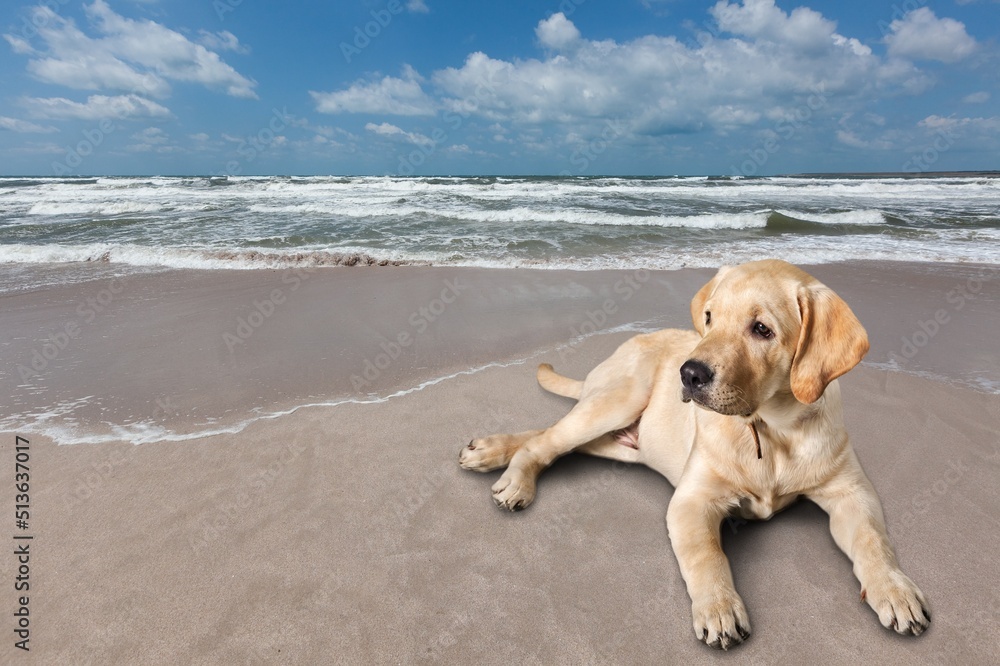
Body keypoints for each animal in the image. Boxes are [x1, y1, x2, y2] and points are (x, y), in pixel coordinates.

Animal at [458, 260, 928, 648]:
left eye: (762, 329)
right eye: (709, 318)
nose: (688, 373)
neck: (771, 430)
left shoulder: (852, 492)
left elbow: (873, 541)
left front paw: (894, 589)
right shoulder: (692, 500)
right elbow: (707, 555)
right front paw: (719, 609)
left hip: (623, 440)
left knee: (558, 439)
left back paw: (490, 450)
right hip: (621, 398)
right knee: (548, 440)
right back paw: (511, 475)